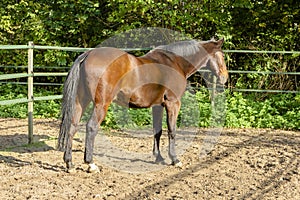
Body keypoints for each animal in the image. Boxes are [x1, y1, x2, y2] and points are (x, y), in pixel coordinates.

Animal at [58, 38, 227, 173]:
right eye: (222, 55)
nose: (224, 78)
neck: (175, 62)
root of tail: (87, 55)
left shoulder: (158, 106)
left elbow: (157, 131)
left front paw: (159, 157)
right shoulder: (173, 103)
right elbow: (172, 131)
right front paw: (175, 159)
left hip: (81, 101)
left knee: (72, 126)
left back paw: (69, 163)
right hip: (101, 104)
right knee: (91, 127)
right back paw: (91, 164)